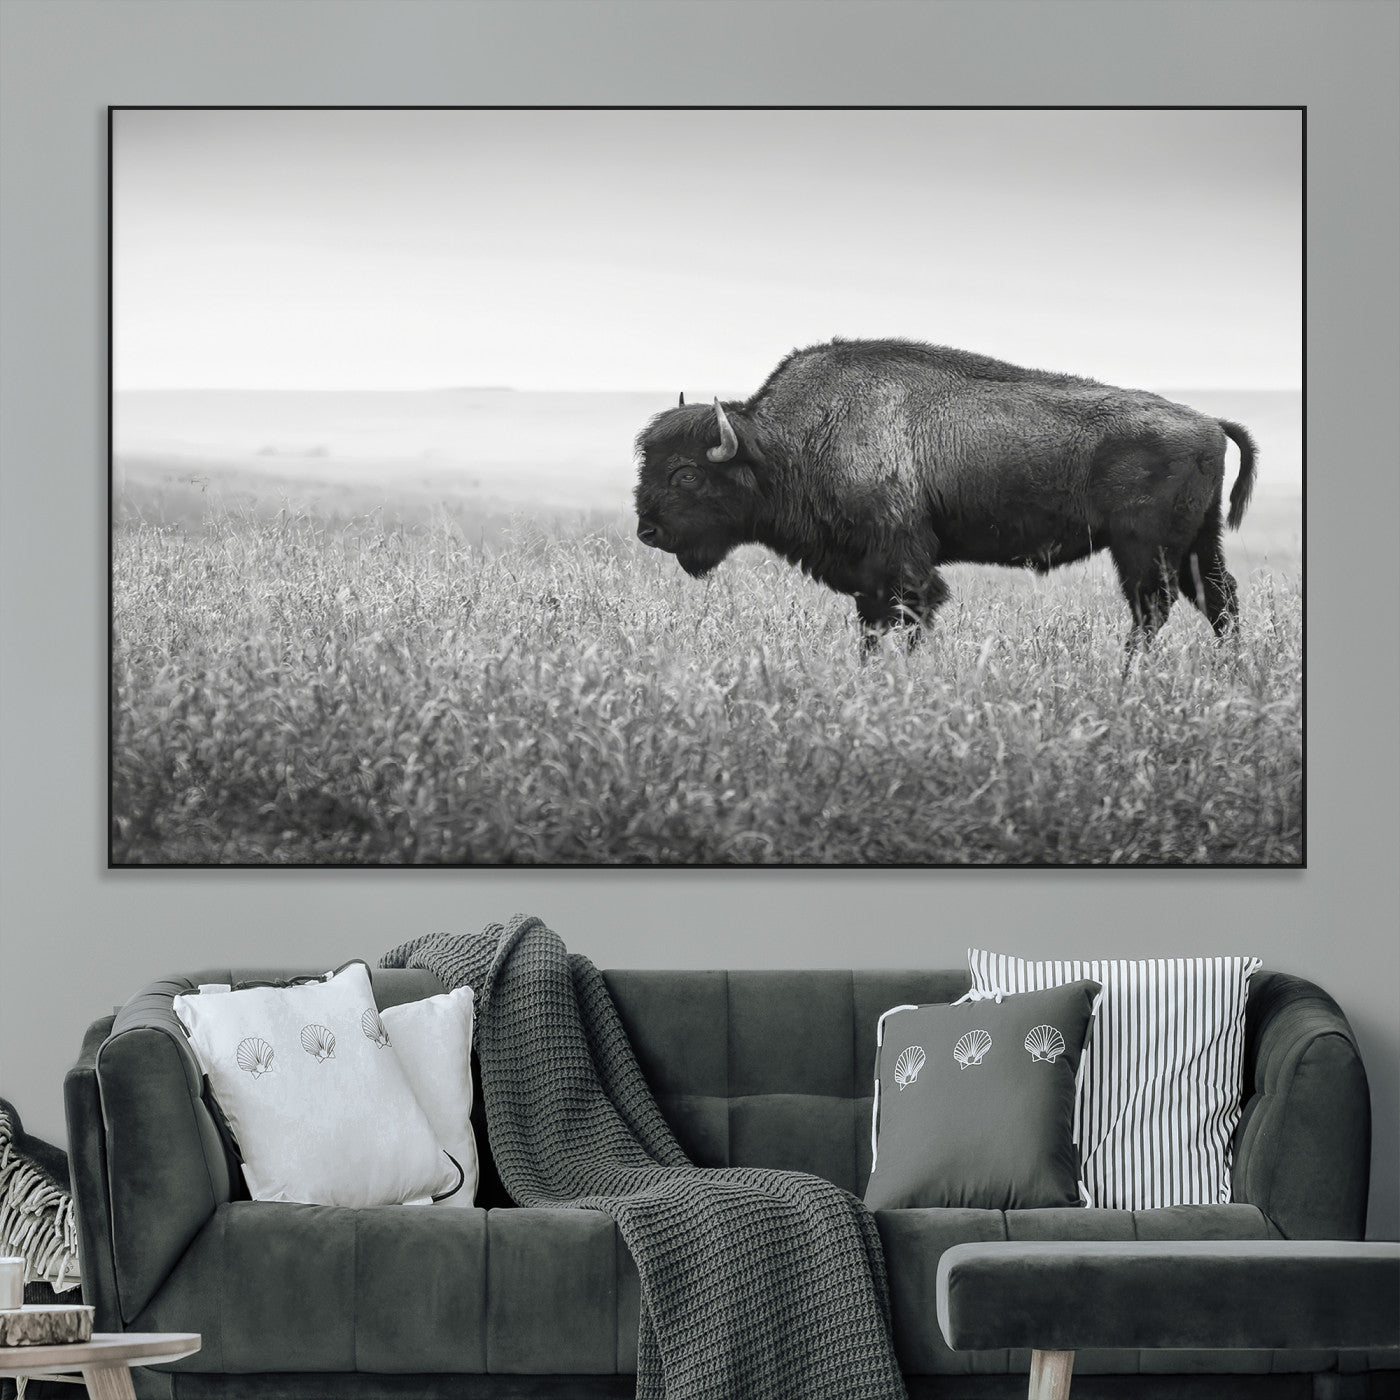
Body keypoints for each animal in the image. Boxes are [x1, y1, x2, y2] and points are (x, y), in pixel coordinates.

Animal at [633, 337, 1256, 651]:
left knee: (1154, 609)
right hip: (1197, 542)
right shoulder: (868, 577)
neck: (787, 443)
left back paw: (1127, 677)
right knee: (1218, 600)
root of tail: (1208, 421)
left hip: (1142, 549)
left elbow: (908, 620)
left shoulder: (903, 566)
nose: (647, 531)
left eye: (686, 474)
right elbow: (873, 627)